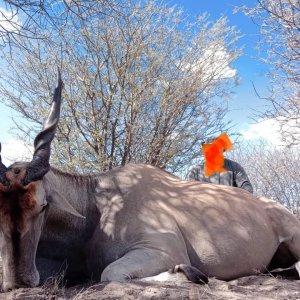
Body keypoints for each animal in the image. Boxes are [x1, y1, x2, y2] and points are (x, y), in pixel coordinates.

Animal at [0, 72, 300, 290]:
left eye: (43, 206)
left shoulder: (162, 250)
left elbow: (111, 273)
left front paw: (191, 274)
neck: (97, 206)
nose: (19, 281)